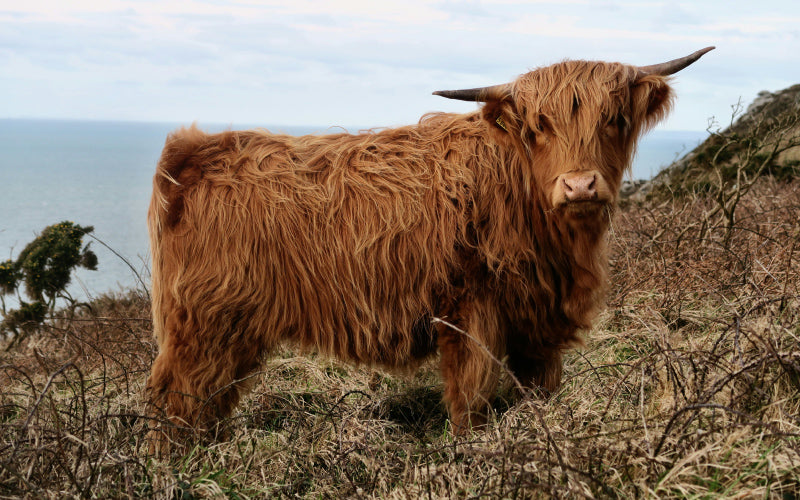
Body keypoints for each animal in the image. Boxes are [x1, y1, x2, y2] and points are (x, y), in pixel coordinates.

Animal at [144, 47, 712, 446]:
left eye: (614, 119)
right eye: (538, 127)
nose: (579, 186)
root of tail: (195, 152)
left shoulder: (538, 321)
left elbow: (539, 391)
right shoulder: (470, 309)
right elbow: (471, 396)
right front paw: (471, 452)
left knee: (208, 403)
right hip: (205, 323)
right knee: (177, 399)